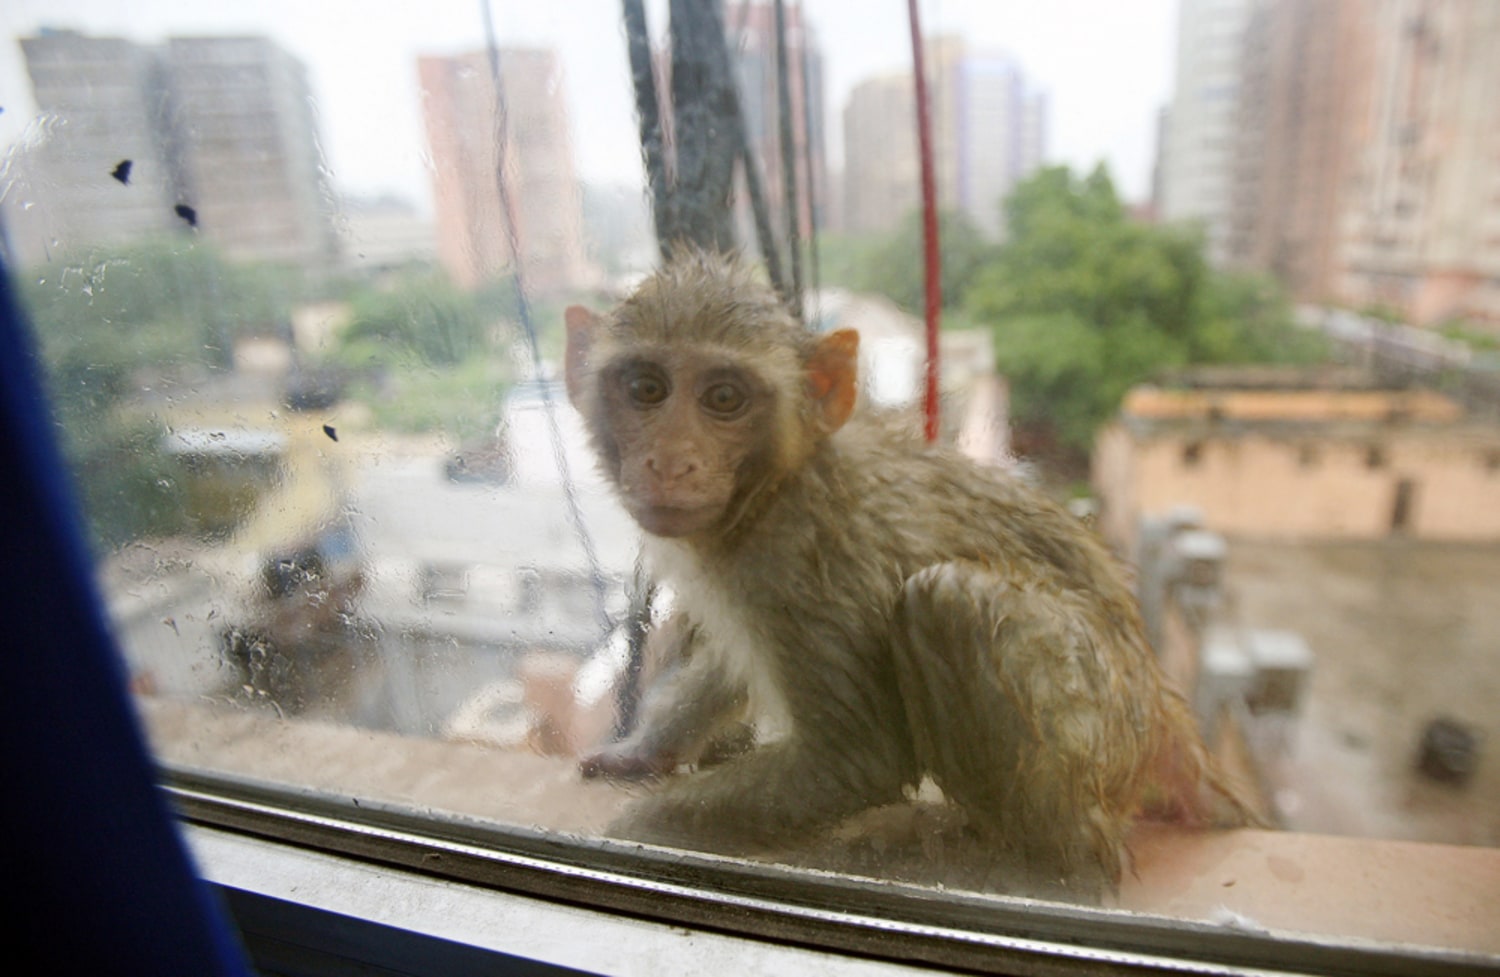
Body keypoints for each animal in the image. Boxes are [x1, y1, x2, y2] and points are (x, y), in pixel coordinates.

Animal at [563, 251, 1257, 900]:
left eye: (724, 398)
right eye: (646, 388)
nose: (670, 462)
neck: (774, 486)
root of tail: (1162, 709)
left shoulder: (804, 557)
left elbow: (853, 759)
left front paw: (636, 834)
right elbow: (730, 666)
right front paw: (646, 749)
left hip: (1110, 718)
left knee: (949, 600)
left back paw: (1048, 869)